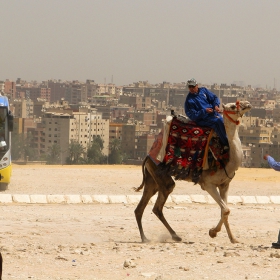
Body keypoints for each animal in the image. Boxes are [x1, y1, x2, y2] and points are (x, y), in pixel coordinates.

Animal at [133, 100, 252, 243]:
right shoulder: (208, 184)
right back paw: (164, 236)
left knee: (141, 208)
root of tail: (148, 156)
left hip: (152, 179)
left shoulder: (224, 184)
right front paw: (213, 232)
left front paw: (233, 238)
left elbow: (224, 211)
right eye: (233, 106)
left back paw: (152, 237)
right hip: (159, 173)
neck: (226, 159)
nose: (248, 104)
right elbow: (226, 210)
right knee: (159, 203)